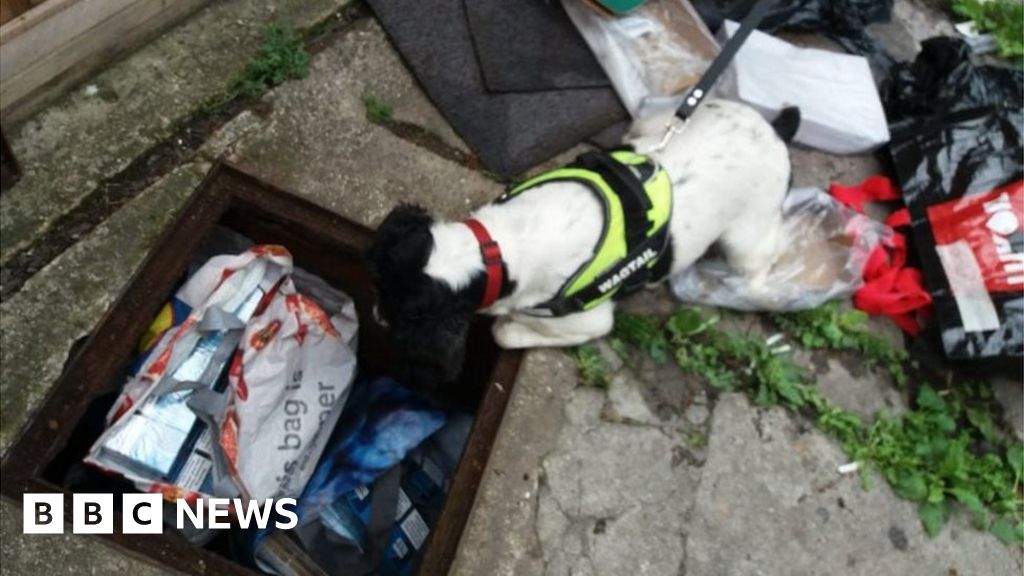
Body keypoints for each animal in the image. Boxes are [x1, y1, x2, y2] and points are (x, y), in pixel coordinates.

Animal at [368, 99, 798, 385]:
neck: (498, 251)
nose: (375, 314)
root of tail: (773, 130)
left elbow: (503, 333)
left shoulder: (591, 322)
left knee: (765, 262)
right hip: (657, 120)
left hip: (747, 241)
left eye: (397, 311)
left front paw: (509, 324)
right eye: (381, 284)